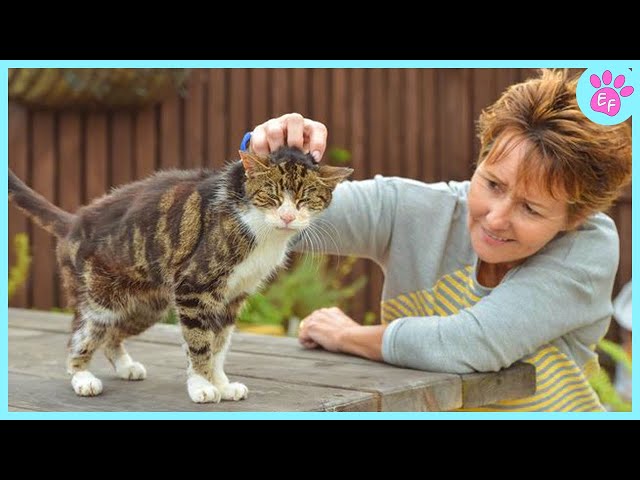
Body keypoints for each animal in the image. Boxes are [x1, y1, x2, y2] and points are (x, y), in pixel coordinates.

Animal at [7, 147, 352, 404]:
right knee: (81, 337)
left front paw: (221, 383)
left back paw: (126, 366)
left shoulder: (233, 297)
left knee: (112, 335)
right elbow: (200, 343)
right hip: (99, 301)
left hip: (147, 306)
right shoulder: (195, 288)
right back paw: (82, 377)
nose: (288, 216)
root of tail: (73, 221)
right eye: (271, 195)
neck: (261, 231)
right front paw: (202, 386)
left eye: (306, 197)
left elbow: (219, 345)